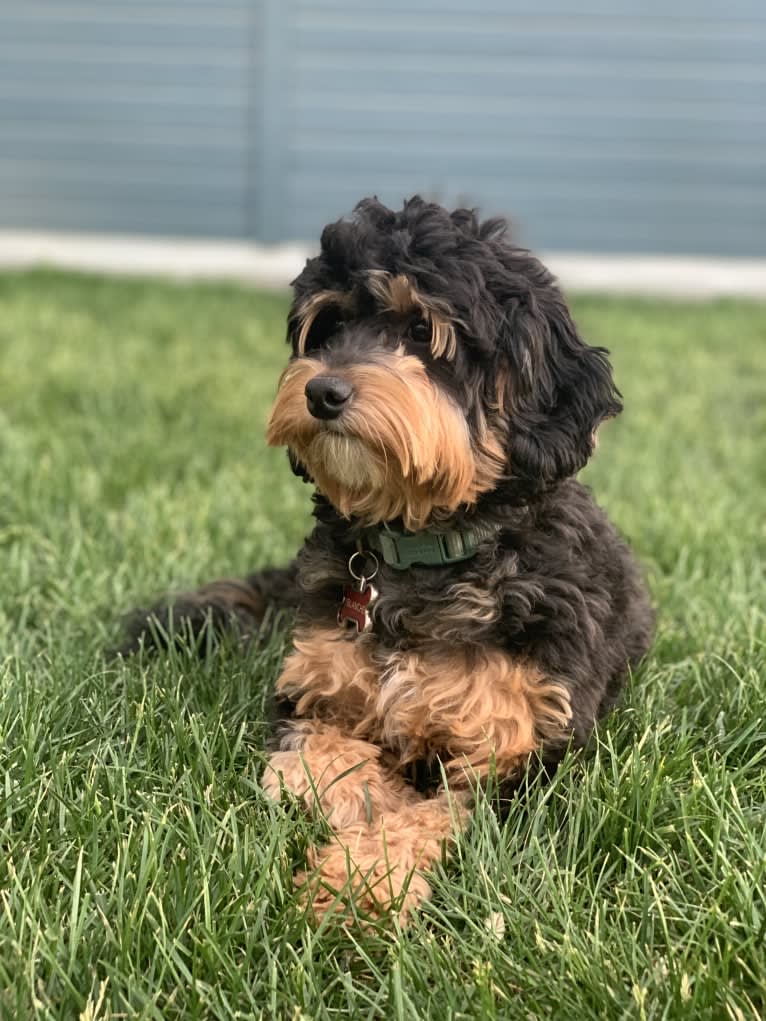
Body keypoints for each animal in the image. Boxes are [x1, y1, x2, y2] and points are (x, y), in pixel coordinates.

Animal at [126, 197, 653, 927]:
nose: (322, 391)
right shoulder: (306, 694)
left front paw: (359, 882)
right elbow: (323, 763)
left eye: (422, 331)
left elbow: (438, 814)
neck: (418, 549)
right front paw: (377, 801)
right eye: (330, 326)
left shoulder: (527, 754)